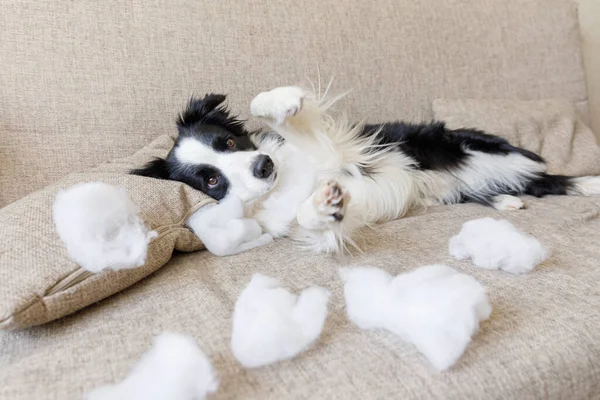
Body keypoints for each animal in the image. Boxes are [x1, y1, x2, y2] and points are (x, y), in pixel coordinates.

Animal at [132, 86, 600, 255]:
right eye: (211, 180)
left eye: (229, 143)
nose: (263, 165)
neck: (281, 185)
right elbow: (314, 218)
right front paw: (324, 206)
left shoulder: (336, 148)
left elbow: (278, 116)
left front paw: (278, 100)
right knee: (533, 185)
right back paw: (506, 200)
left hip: (482, 151)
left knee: (547, 177)